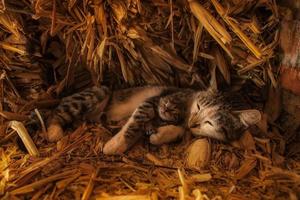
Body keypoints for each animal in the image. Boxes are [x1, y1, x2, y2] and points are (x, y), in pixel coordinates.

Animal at [43, 85, 262, 155]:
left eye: (211, 123)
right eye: (199, 107)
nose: (194, 123)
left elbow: (178, 130)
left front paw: (160, 136)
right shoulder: (152, 101)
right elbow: (135, 122)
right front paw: (116, 145)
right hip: (97, 92)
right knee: (58, 109)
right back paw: (53, 131)